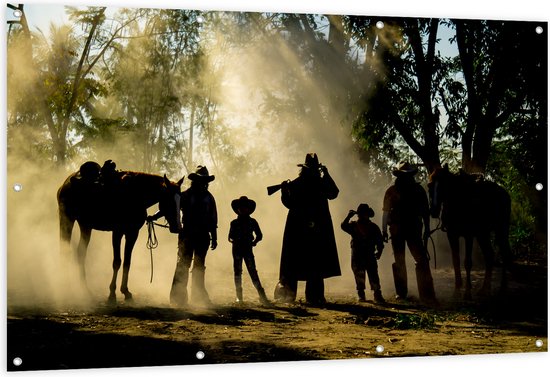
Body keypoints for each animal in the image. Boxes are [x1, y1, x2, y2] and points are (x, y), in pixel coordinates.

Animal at [57, 160, 184, 302]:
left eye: (180, 200)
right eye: (169, 200)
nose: (177, 227)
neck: (135, 195)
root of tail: (66, 183)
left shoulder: (132, 233)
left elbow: (127, 262)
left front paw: (126, 291)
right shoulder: (117, 232)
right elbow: (117, 262)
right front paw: (112, 293)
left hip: (85, 226)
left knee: (80, 253)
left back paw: (84, 289)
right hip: (67, 219)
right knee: (64, 249)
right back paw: (65, 285)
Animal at [430, 165, 516, 300]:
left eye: (444, 185)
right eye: (430, 185)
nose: (433, 210)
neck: (458, 203)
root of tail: (504, 193)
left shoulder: (468, 236)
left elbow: (467, 263)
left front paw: (467, 293)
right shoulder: (452, 235)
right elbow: (456, 261)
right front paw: (457, 291)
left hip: (501, 230)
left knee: (505, 254)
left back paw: (502, 289)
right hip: (482, 234)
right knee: (489, 255)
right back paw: (485, 289)